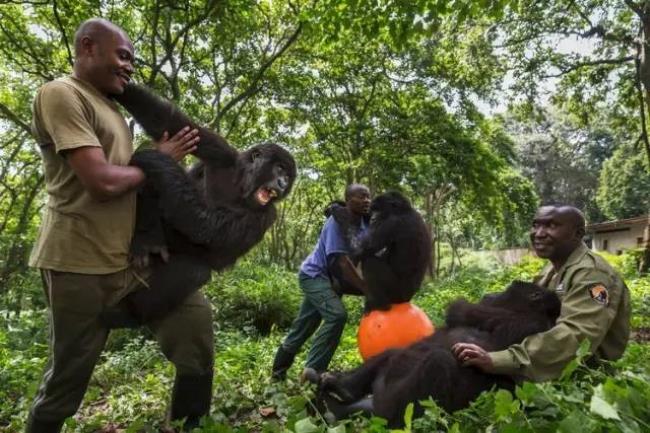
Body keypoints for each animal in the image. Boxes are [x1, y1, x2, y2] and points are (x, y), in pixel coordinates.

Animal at [109, 83, 296, 324]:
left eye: (288, 176)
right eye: (279, 168)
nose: (283, 183)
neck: (242, 185)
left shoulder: (268, 215)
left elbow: (209, 227)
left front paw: (156, 159)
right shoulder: (222, 152)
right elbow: (173, 123)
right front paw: (118, 85)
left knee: (195, 271)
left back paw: (129, 312)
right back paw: (146, 240)